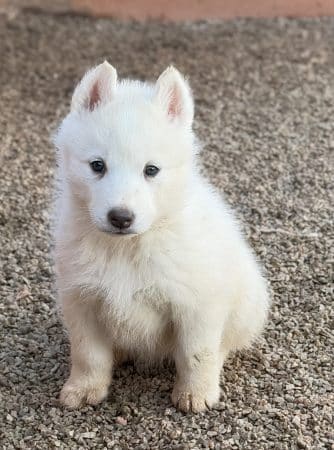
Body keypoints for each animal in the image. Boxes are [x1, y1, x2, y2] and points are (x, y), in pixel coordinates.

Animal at [54, 61, 268, 414]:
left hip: (247, 303)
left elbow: (197, 354)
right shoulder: (82, 301)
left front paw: (195, 394)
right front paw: (84, 389)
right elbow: (88, 354)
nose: (121, 217)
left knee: (224, 343)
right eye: (97, 166)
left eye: (151, 170)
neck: (127, 248)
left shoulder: (197, 304)